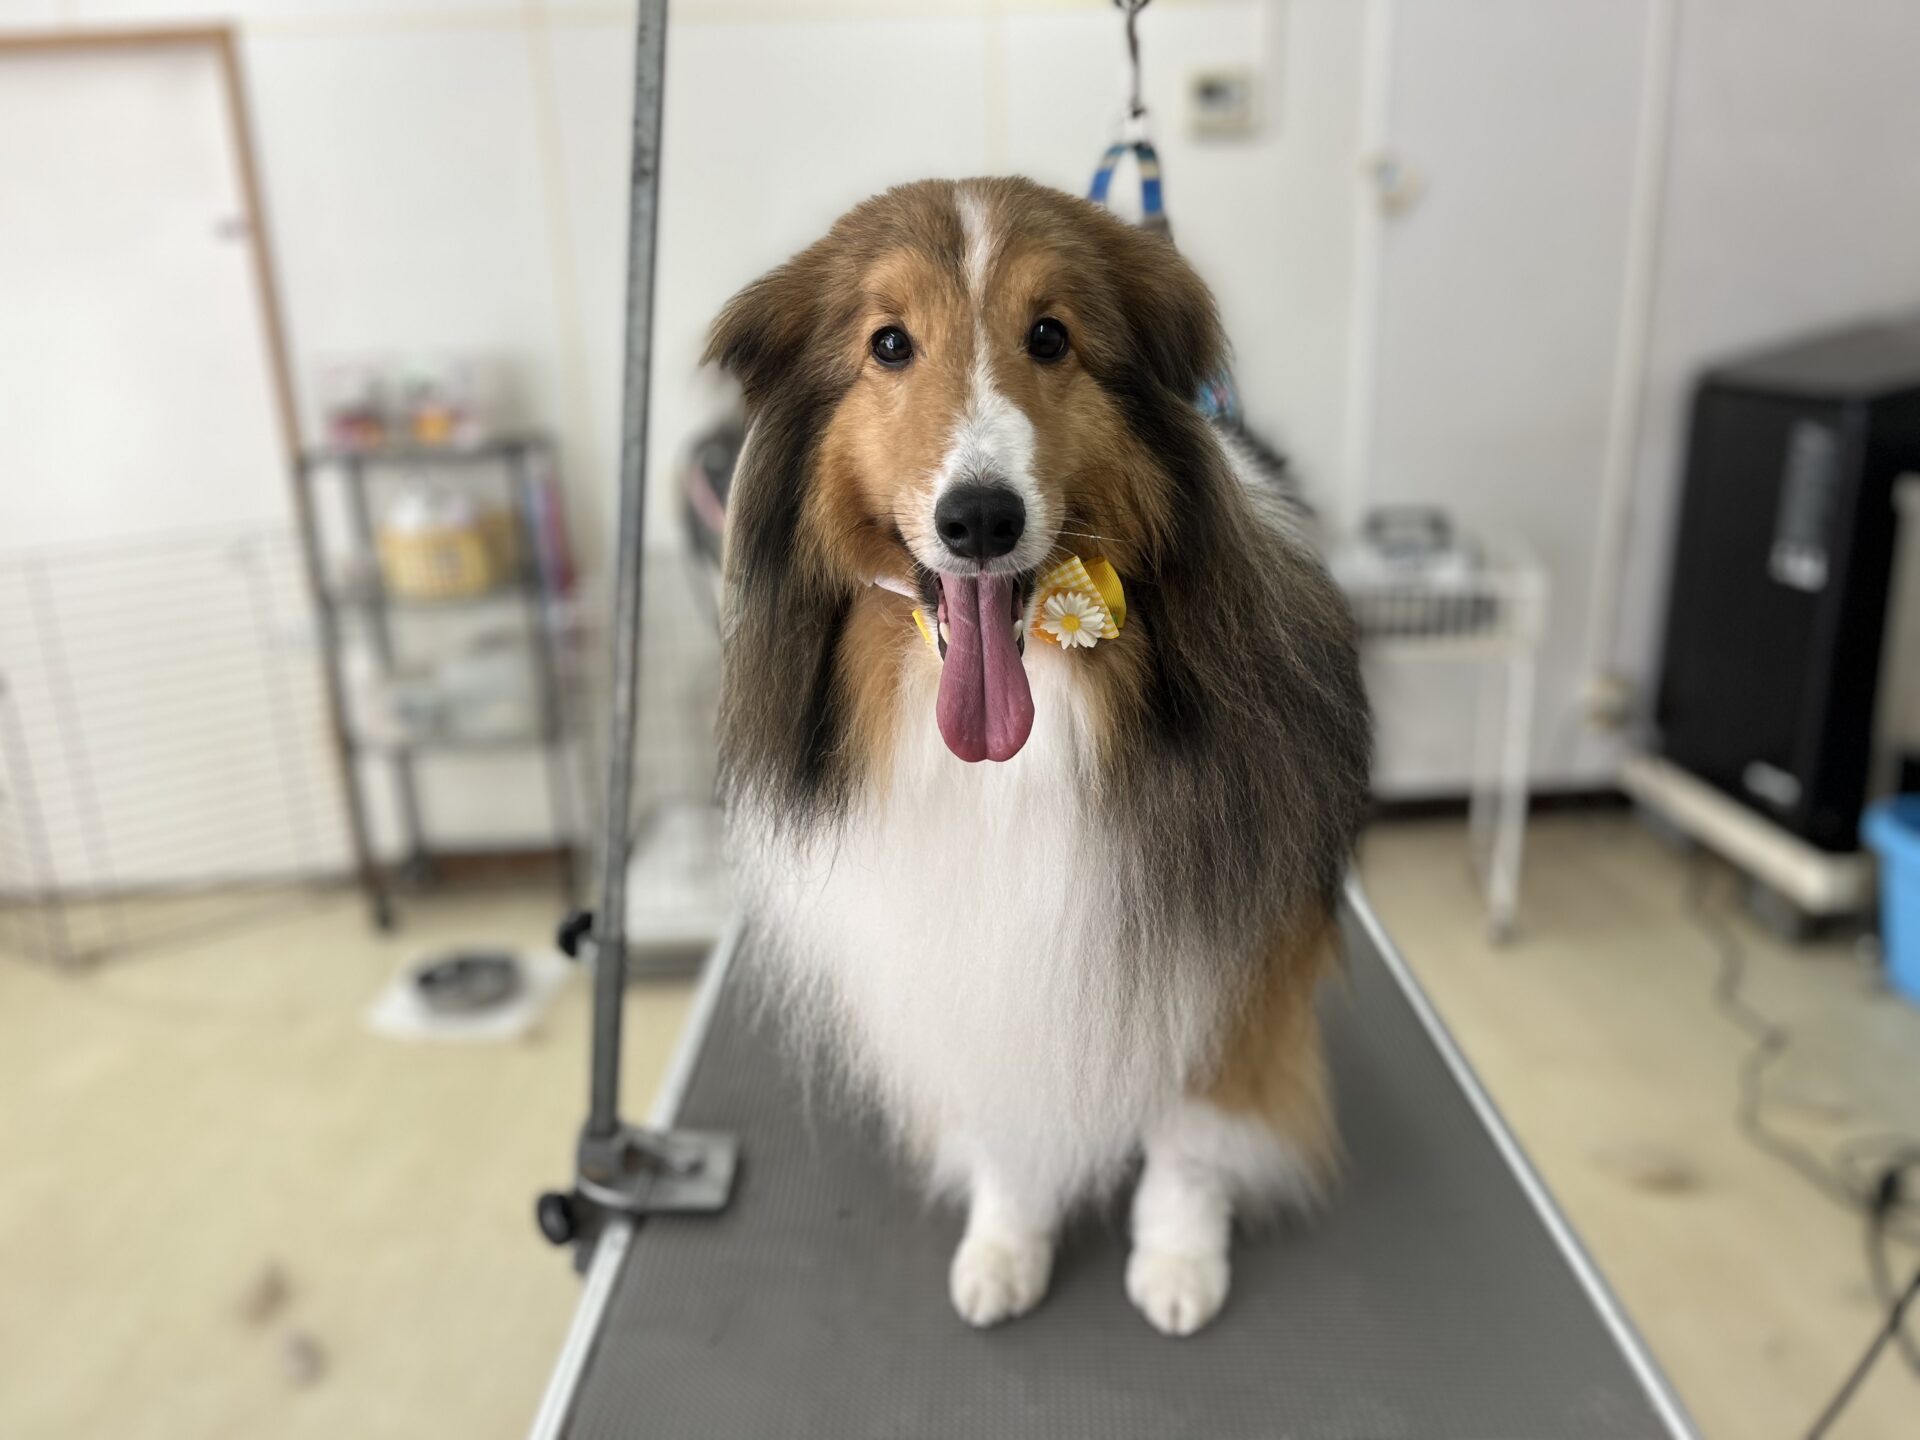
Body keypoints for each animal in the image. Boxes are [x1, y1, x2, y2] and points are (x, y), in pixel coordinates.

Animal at [707, 177, 1370, 1337]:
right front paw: (1007, 1243)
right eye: (889, 344)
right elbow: (1008, 1105)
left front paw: (1180, 1255)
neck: (1012, 757)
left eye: (1051, 336)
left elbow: (1194, 1127)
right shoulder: (975, 958)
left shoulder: (1230, 945)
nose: (980, 519)